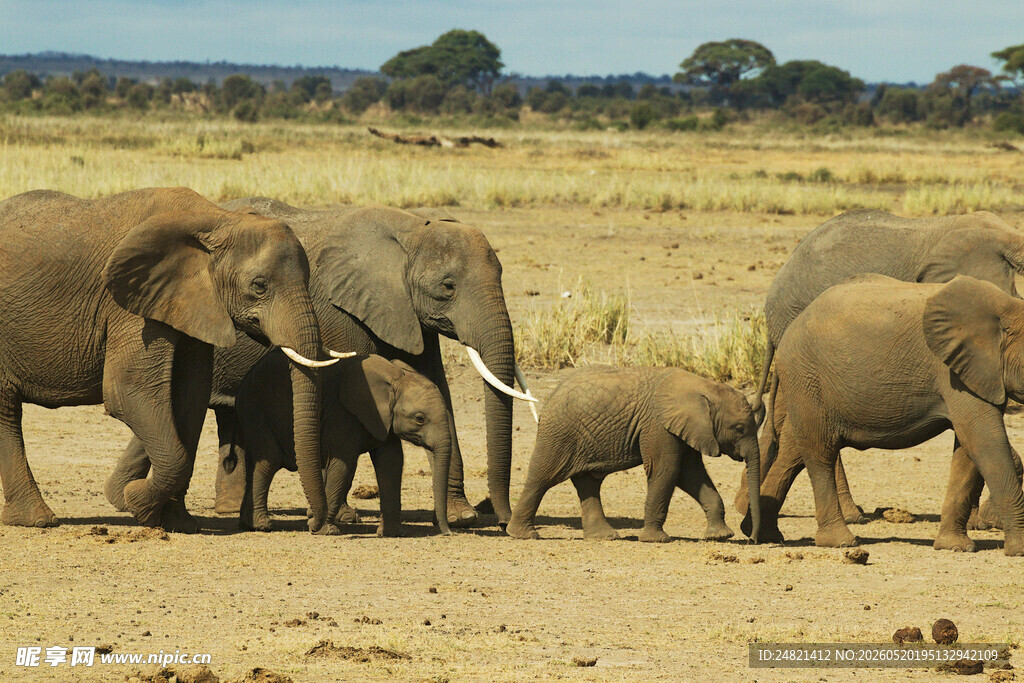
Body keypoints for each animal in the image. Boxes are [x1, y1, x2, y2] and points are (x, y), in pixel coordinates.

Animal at [0, 187, 337, 532]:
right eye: (259, 285)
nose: (317, 525)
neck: (216, 219)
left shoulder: (192, 302)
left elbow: (190, 398)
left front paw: (178, 522)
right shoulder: (131, 305)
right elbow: (129, 391)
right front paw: (137, 504)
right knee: (7, 411)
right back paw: (39, 520)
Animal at [235, 352, 452, 536]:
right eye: (420, 419)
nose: (448, 532)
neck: (395, 377)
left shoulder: (384, 420)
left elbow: (391, 463)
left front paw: (391, 534)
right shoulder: (342, 414)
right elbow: (343, 465)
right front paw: (325, 530)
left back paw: (248, 523)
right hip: (256, 408)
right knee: (268, 461)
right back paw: (262, 525)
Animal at [506, 366, 761, 544]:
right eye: (739, 429)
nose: (752, 539)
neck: (705, 387)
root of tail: (551, 394)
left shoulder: (686, 429)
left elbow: (691, 475)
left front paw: (720, 536)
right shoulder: (658, 425)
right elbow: (666, 471)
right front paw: (656, 540)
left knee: (587, 482)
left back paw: (604, 537)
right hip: (558, 433)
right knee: (542, 478)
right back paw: (524, 535)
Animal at [738, 209, 1024, 523]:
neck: (1008, 234)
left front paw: (979, 521)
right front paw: (987, 520)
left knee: (784, 410)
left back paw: (746, 507)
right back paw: (851, 516)